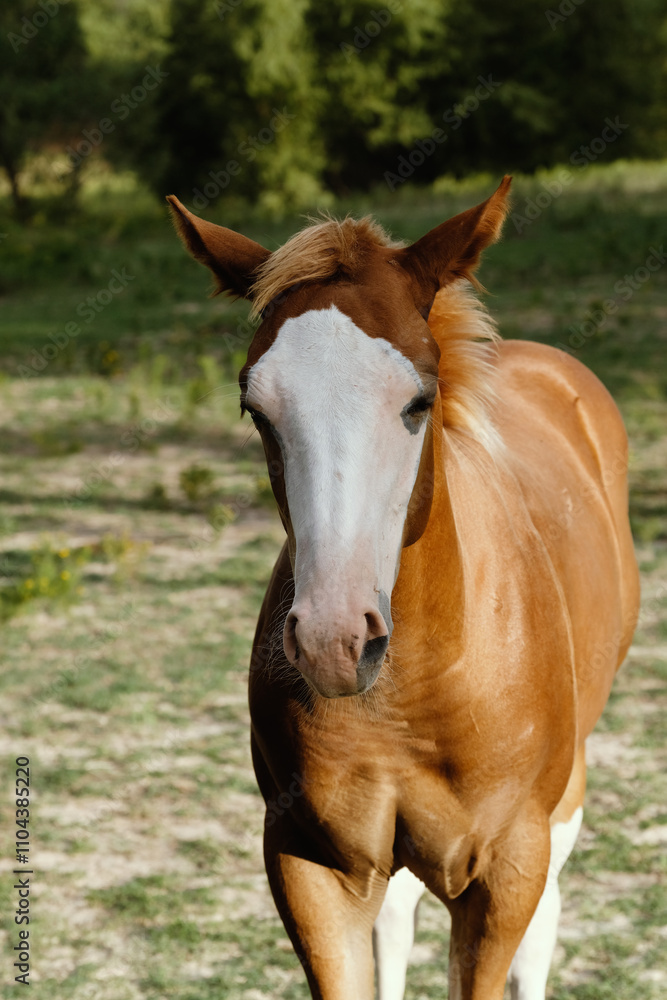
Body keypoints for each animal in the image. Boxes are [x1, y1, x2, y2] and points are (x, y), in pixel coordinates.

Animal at [168, 178, 640, 1000]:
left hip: (565, 793)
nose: (332, 642)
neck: (416, 691)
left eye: (419, 401)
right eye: (255, 409)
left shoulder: (504, 870)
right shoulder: (308, 865)